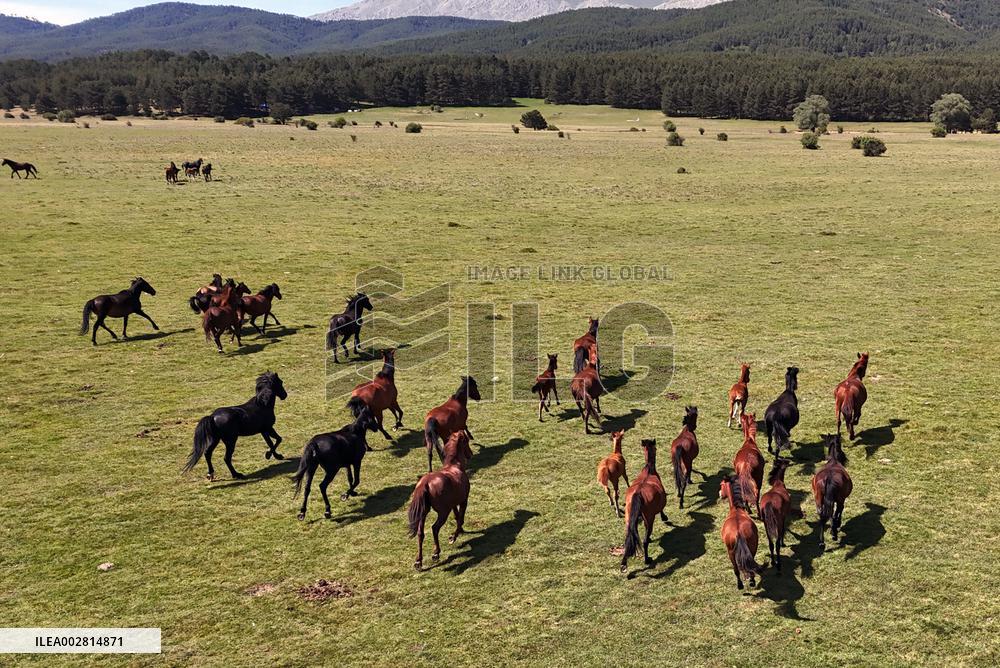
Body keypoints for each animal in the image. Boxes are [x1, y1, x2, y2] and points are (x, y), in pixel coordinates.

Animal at [408, 432, 474, 570]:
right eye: (466, 441)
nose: (470, 454)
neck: (454, 466)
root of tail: (425, 483)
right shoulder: (463, 501)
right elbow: (460, 519)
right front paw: (453, 537)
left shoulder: (453, 504)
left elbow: (457, 517)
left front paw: (460, 531)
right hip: (443, 513)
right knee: (434, 528)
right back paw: (436, 553)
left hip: (423, 514)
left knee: (420, 533)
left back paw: (418, 561)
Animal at [620, 438, 668, 572]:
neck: (649, 470)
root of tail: (638, 494)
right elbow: (662, 509)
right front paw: (664, 517)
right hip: (649, 518)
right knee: (645, 540)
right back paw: (647, 559)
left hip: (628, 519)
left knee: (628, 538)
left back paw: (624, 563)